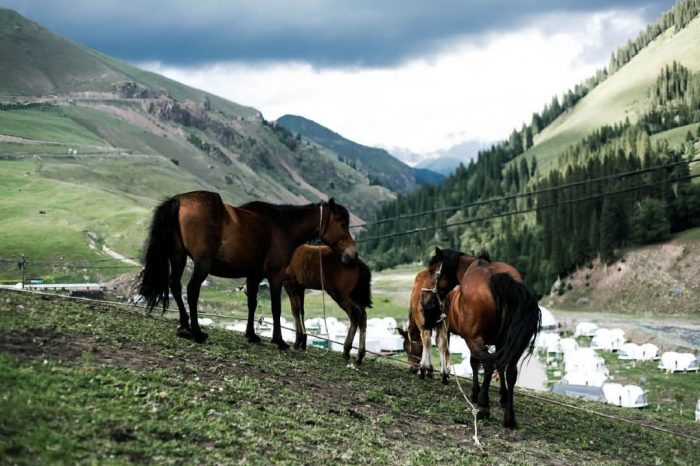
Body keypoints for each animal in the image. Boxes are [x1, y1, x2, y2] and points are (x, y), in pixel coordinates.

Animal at [137, 190, 358, 350]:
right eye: (342, 223)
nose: (353, 253)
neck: (281, 226)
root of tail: (180, 200)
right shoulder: (275, 275)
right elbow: (276, 308)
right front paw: (279, 341)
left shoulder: (254, 275)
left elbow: (252, 304)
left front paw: (251, 335)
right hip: (202, 263)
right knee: (191, 290)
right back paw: (197, 331)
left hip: (178, 256)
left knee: (175, 286)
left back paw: (184, 325)